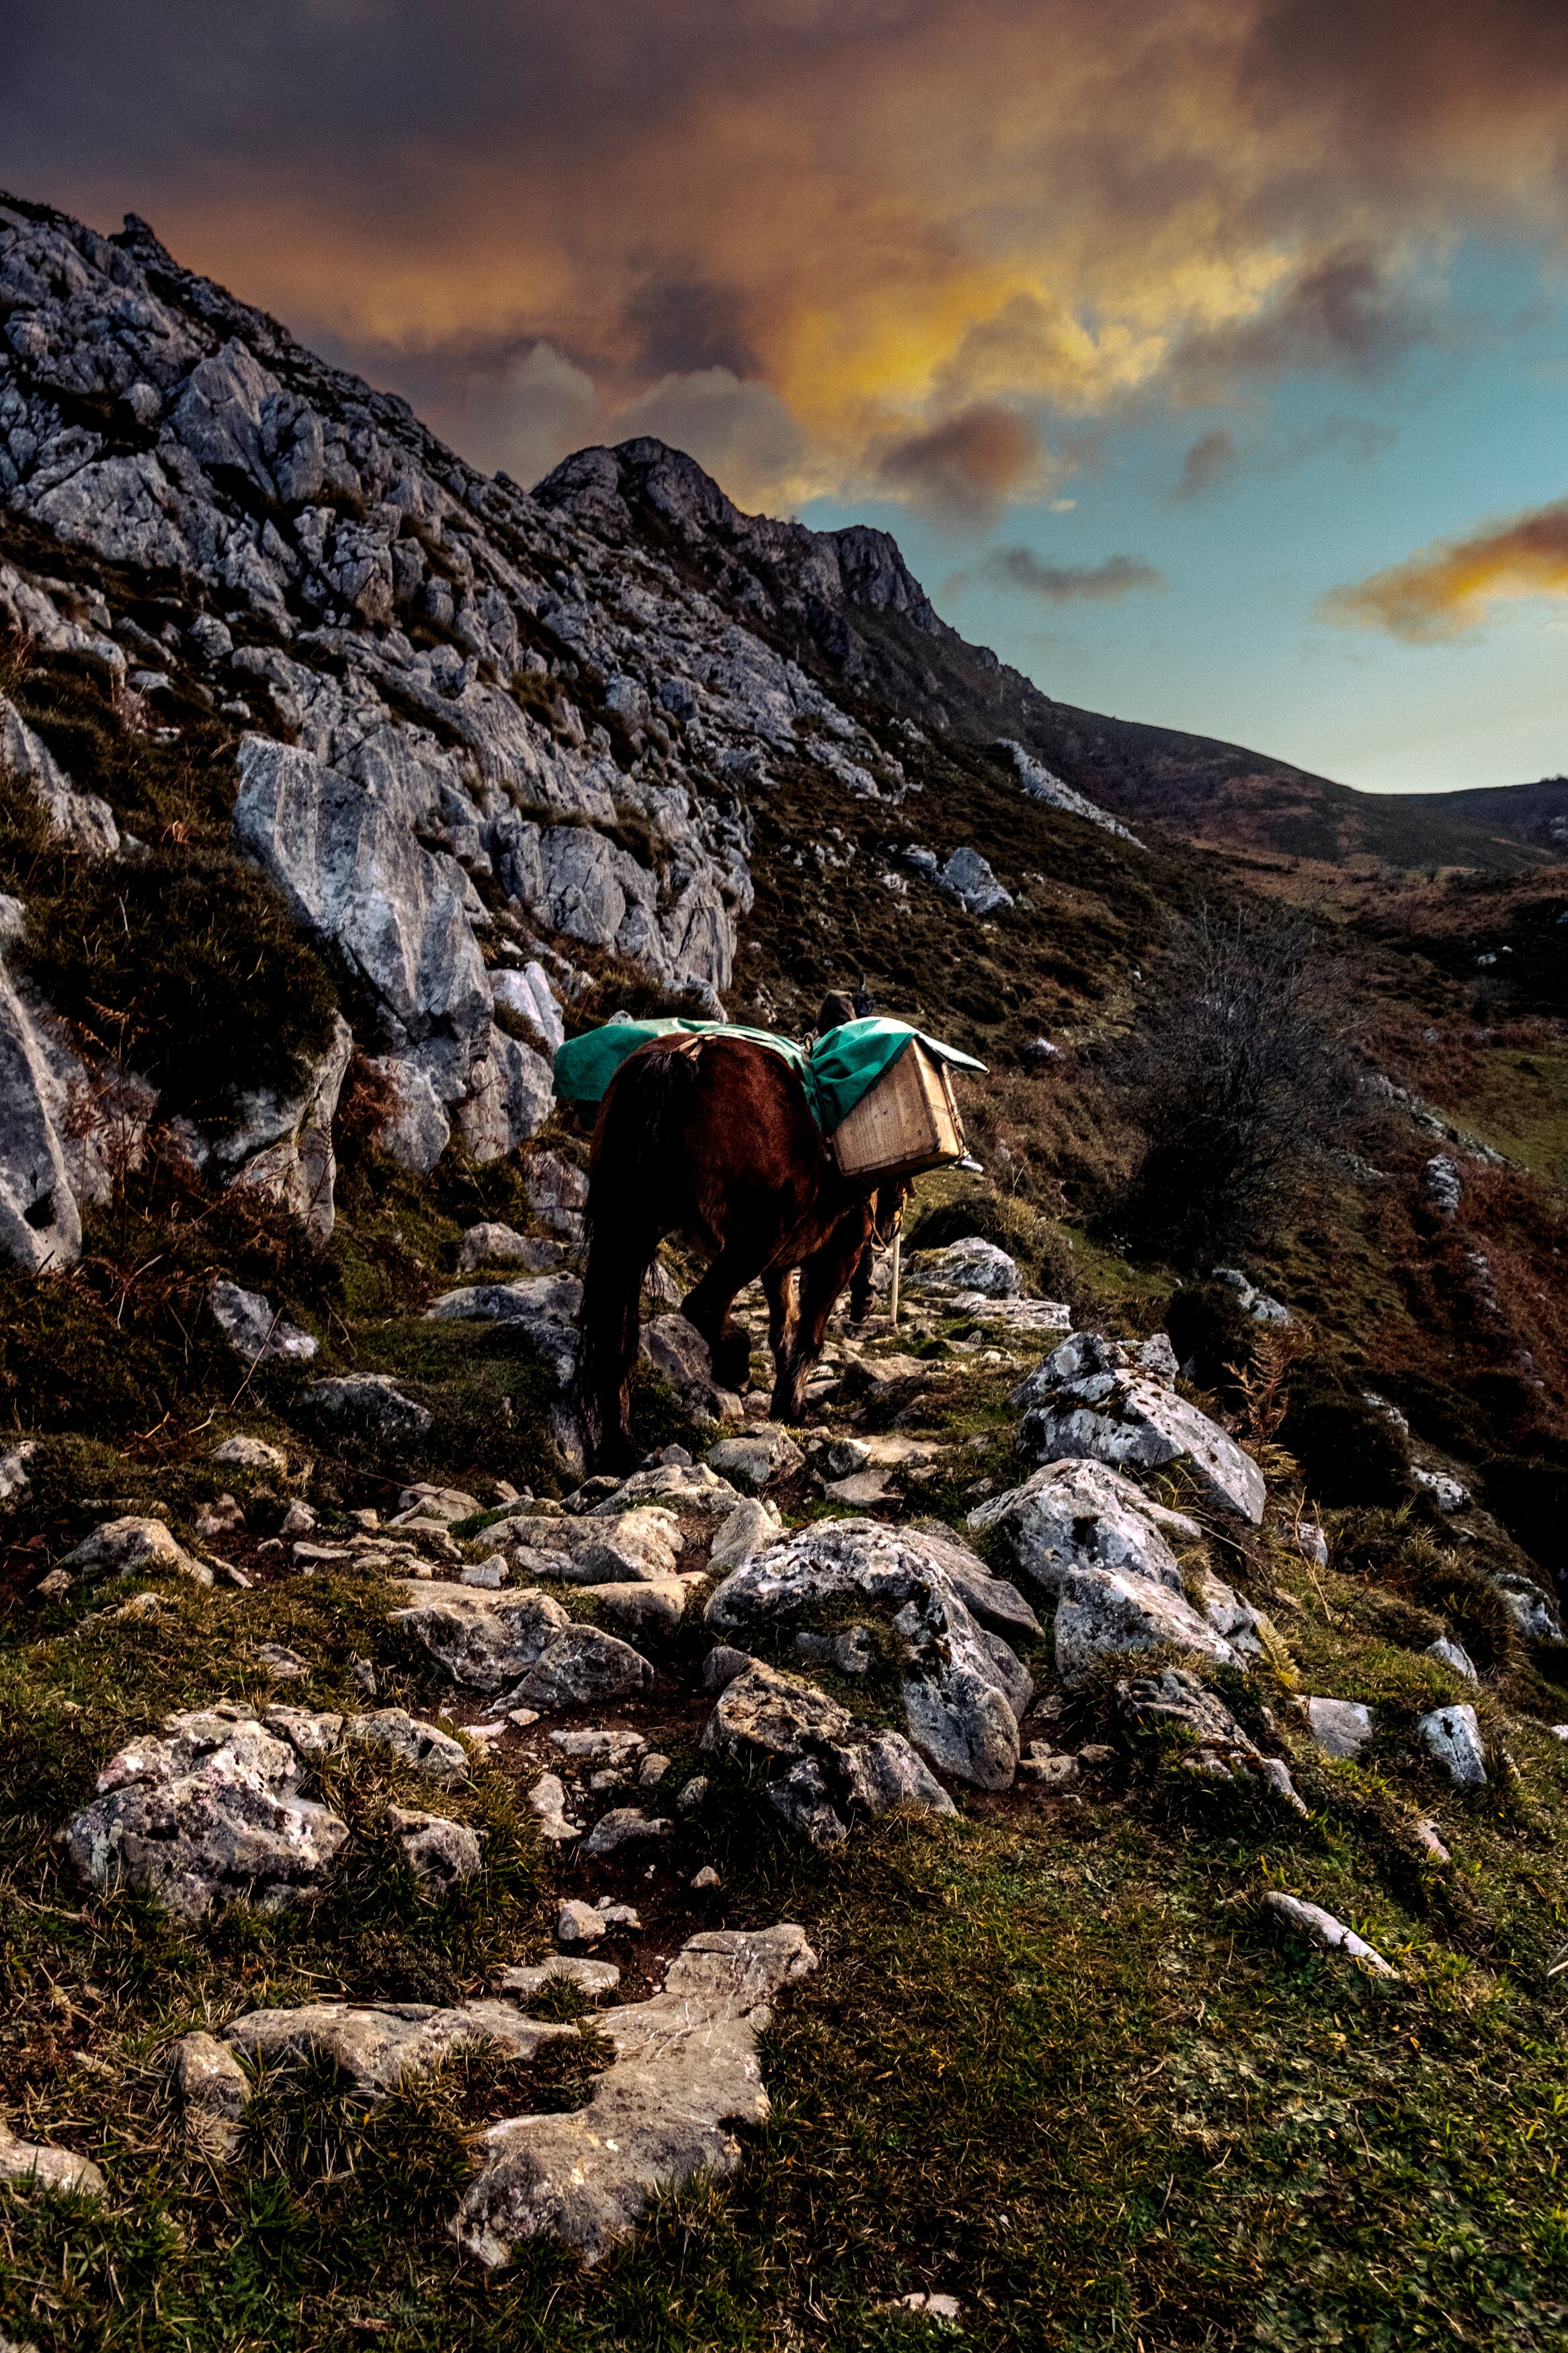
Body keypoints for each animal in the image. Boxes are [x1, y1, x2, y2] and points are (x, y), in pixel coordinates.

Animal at [580, 1031, 907, 1468]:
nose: (890, 1227)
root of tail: (680, 1055)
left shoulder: (780, 1265)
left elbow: (783, 1327)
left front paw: (784, 1394)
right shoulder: (837, 1256)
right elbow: (809, 1335)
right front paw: (790, 1406)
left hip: (631, 1232)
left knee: (616, 1339)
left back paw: (621, 1448)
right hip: (754, 1241)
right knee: (702, 1306)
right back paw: (734, 1366)